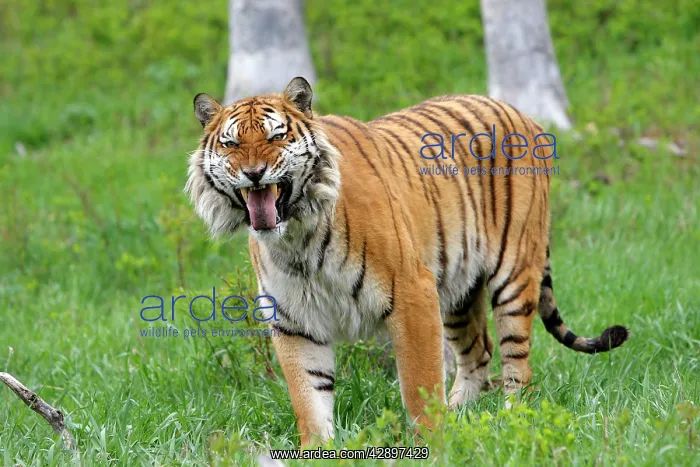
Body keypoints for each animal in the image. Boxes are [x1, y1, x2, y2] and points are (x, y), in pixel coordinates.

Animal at [185, 77, 629, 447]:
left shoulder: (411, 293)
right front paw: (317, 450)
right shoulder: (295, 320)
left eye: (276, 137)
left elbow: (419, 381)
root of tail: (524, 115)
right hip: (457, 291)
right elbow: (309, 398)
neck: (297, 235)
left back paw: (511, 419)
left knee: (517, 364)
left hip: (514, 274)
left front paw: (433, 443)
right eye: (231, 145)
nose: (254, 173)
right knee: (479, 354)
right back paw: (461, 413)